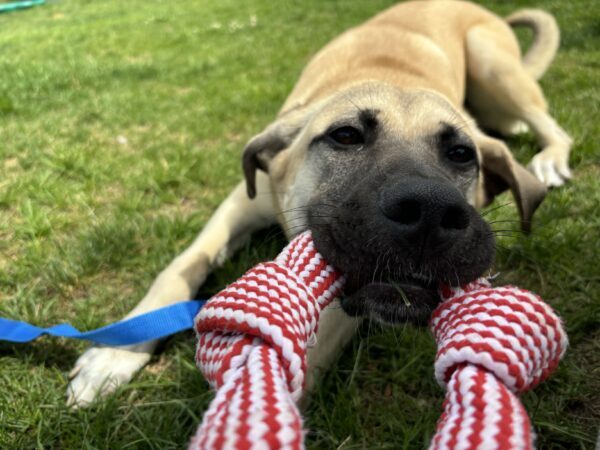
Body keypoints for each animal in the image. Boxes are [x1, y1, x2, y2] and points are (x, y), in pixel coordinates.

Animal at [65, 0, 572, 408]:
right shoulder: (241, 200)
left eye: (461, 154)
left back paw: (549, 158)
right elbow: (180, 268)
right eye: (345, 136)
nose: (430, 213)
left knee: (551, 125)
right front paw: (115, 352)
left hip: (493, 64)